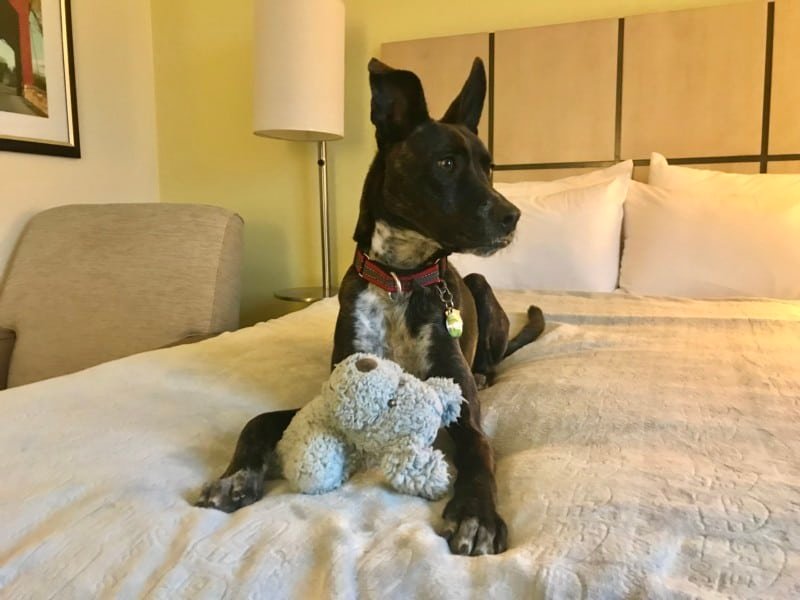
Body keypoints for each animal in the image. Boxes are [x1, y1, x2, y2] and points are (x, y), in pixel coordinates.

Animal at [196, 57, 544, 556]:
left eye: (488, 167)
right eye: (446, 163)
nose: (512, 216)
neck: (400, 278)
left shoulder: (464, 412)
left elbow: (479, 451)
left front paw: (476, 514)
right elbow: (258, 420)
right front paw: (235, 476)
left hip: (479, 286)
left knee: (492, 361)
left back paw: (483, 372)